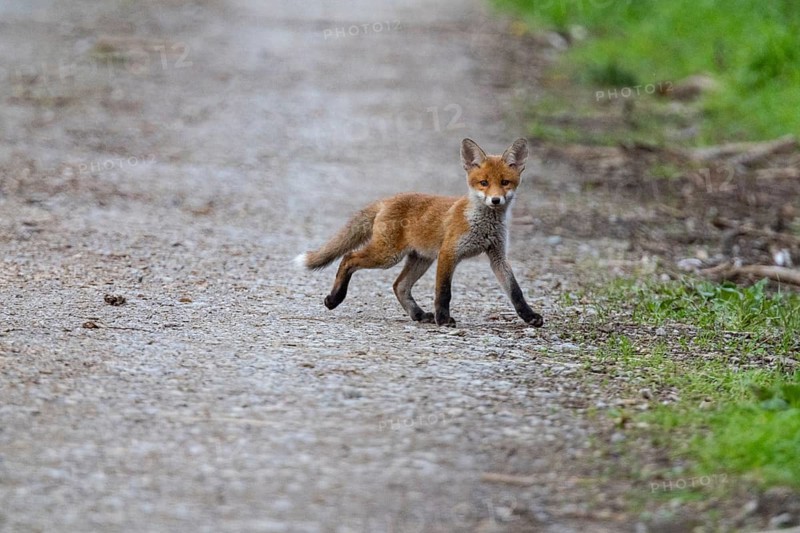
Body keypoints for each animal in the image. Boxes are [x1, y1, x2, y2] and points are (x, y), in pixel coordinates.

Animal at [295, 138, 544, 328]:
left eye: (505, 182)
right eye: (483, 182)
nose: (495, 200)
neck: (482, 225)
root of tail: (387, 200)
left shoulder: (497, 256)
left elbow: (515, 291)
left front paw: (530, 317)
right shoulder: (448, 253)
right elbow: (443, 292)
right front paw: (443, 319)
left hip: (420, 259)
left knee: (399, 286)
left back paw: (418, 314)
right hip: (388, 256)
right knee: (349, 258)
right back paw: (334, 298)